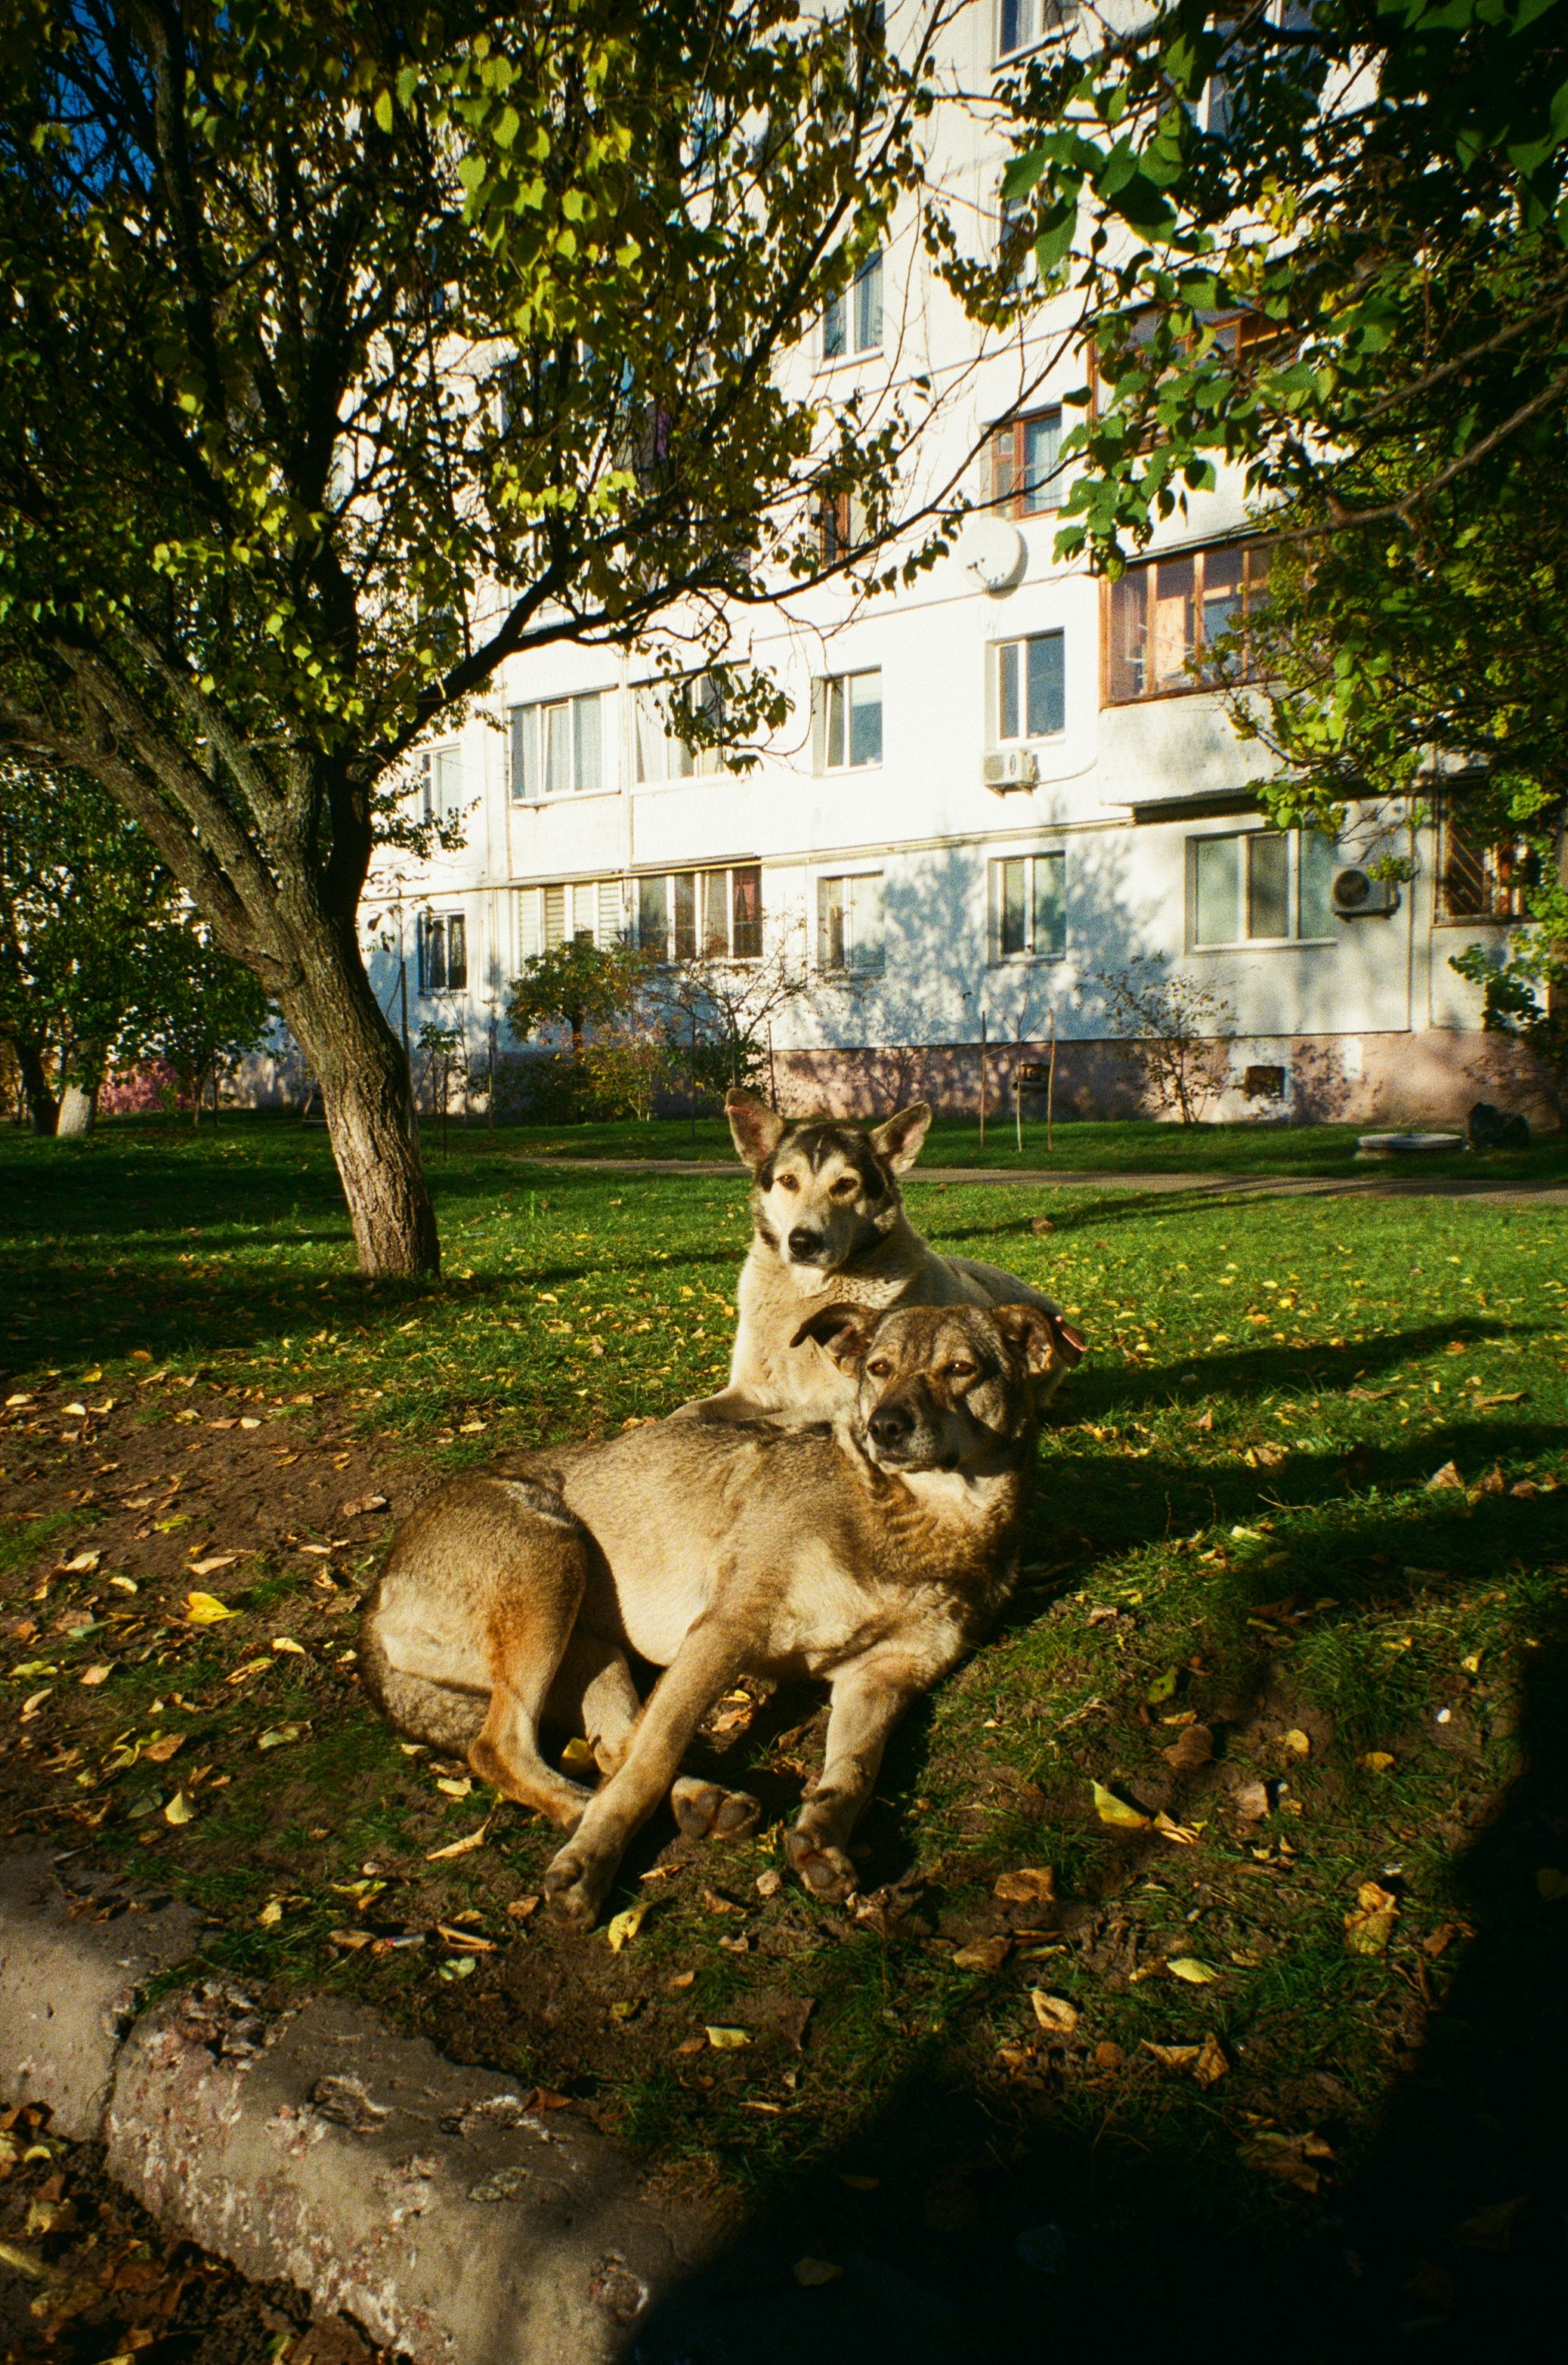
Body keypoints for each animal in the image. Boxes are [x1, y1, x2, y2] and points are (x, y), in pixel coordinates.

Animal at [361, 1305, 1059, 1930]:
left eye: (961, 1369)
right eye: (878, 1369)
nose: (885, 1426)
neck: (918, 1521)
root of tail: (374, 1596)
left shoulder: (885, 1678)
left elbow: (852, 1773)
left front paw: (821, 1838)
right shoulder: (724, 1633)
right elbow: (654, 1754)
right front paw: (591, 1863)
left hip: (592, 1648)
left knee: (611, 1742)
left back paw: (696, 1800)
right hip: (552, 1565)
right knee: (506, 1748)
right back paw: (599, 1818)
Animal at [695, 1087, 1087, 1419]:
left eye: (846, 1184)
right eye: (788, 1181)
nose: (803, 1242)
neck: (809, 1292)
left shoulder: (841, 1402)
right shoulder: (751, 1390)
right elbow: (690, 1412)